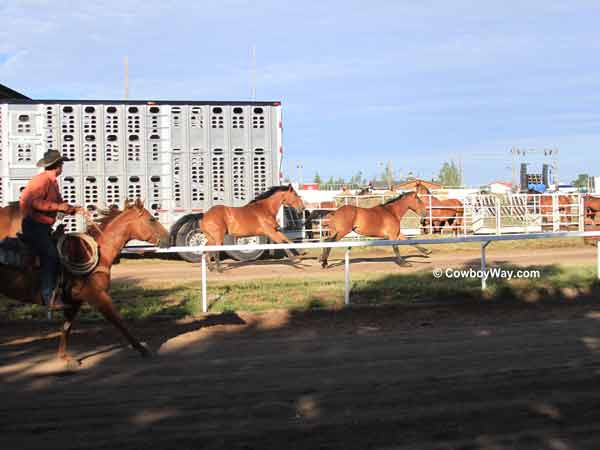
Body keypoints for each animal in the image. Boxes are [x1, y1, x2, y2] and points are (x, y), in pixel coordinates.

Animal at [0, 200, 170, 366]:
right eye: (151, 219)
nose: (168, 238)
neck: (92, 252)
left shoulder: (74, 301)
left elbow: (66, 327)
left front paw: (65, 357)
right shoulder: (98, 295)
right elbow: (119, 321)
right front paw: (142, 349)